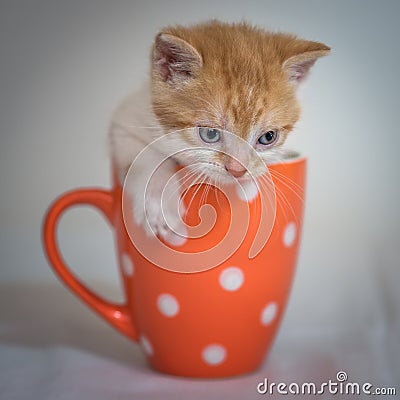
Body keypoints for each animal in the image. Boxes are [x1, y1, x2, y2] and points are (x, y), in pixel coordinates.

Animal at [111, 20, 330, 244]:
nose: (237, 170)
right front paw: (160, 206)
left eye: (267, 137)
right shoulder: (125, 120)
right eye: (210, 133)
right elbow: (145, 156)